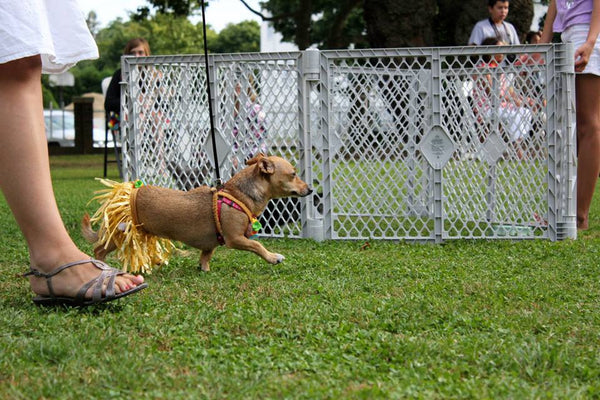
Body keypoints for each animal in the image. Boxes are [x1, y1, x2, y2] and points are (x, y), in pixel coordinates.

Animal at [81, 153, 312, 272]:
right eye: (293, 174)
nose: (310, 189)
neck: (238, 195)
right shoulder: (235, 238)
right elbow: (257, 245)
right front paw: (273, 257)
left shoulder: (210, 244)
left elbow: (206, 256)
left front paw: (204, 269)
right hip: (119, 235)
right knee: (98, 250)